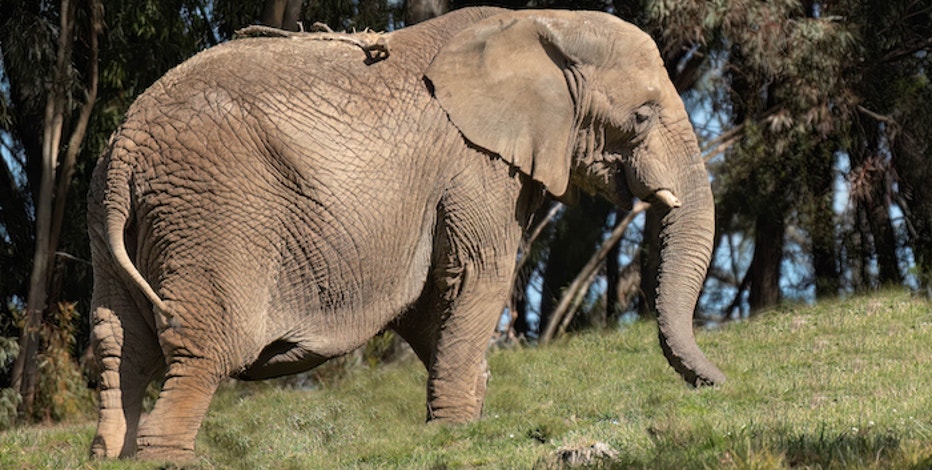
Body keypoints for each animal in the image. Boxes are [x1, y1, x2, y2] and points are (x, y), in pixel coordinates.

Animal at [87, 6, 724, 462]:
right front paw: (459, 433)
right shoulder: (473, 164)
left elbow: (427, 304)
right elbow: (477, 275)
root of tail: (126, 146)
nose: (717, 387)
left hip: (112, 219)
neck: (543, 21)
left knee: (120, 341)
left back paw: (107, 456)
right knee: (204, 345)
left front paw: (462, 418)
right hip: (214, 213)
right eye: (641, 116)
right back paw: (168, 458)